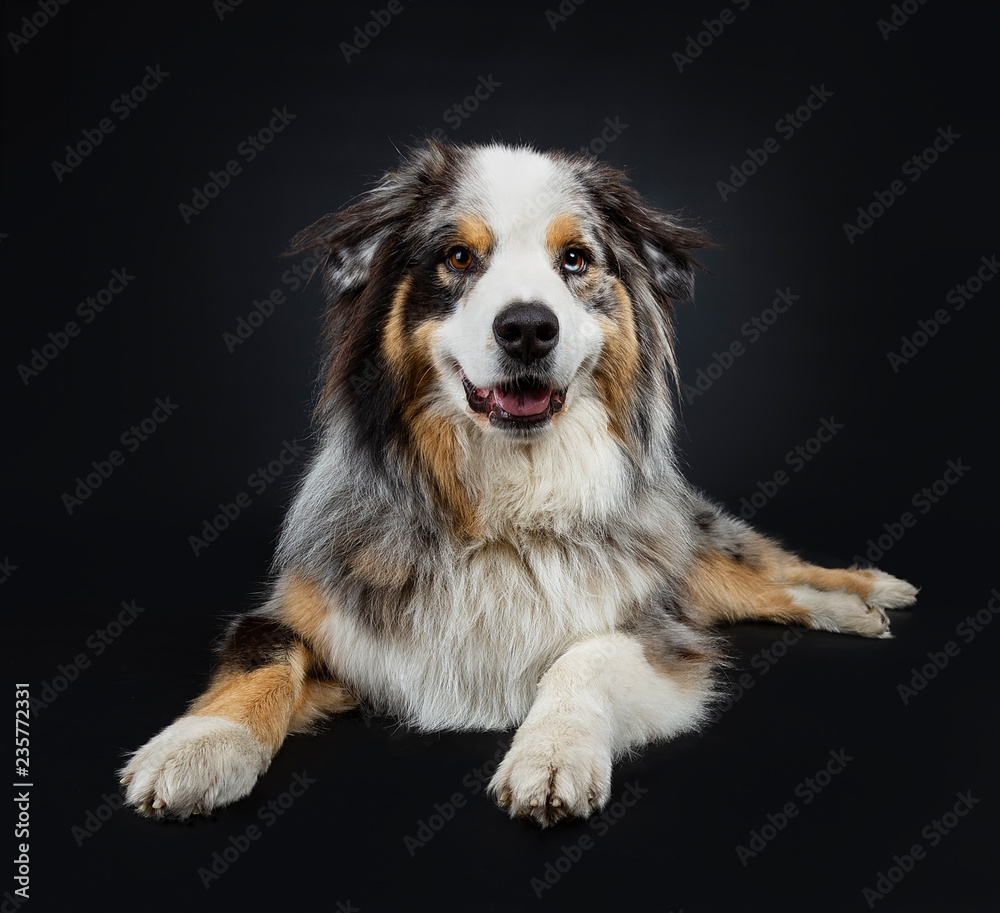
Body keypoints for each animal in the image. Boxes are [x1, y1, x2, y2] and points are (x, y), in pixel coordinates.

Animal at [121, 141, 916, 828]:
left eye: (575, 259)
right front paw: (197, 747)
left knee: (774, 577)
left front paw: (553, 755)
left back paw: (866, 594)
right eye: (457, 257)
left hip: (697, 554)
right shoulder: (314, 609)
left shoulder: (653, 624)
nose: (529, 328)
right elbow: (260, 658)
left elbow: (581, 657)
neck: (502, 507)